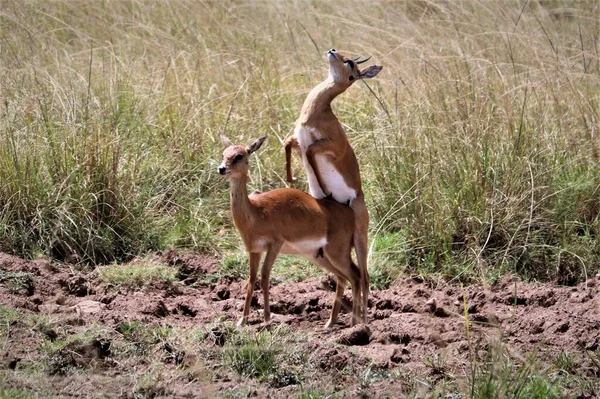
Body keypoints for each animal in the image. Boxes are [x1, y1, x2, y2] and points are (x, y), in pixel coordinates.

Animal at [219, 136, 360, 330]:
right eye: (224, 153)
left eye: (239, 155)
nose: (221, 168)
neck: (256, 212)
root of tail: (349, 211)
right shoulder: (254, 250)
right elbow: (251, 280)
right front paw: (242, 321)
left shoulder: (275, 245)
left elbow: (264, 277)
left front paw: (267, 319)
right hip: (320, 256)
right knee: (343, 278)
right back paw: (330, 323)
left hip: (337, 253)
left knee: (356, 275)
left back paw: (355, 324)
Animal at [282, 48, 382, 324]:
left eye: (350, 64)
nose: (332, 51)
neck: (317, 112)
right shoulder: (297, 141)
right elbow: (287, 143)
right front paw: (292, 179)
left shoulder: (331, 148)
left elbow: (311, 152)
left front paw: (324, 189)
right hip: (328, 250)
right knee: (346, 277)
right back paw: (335, 321)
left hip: (359, 238)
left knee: (364, 276)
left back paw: (360, 321)